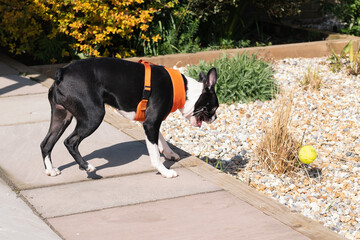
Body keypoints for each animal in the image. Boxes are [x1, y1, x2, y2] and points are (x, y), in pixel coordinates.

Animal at [40, 57, 218, 178]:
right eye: (214, 107)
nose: (215, 117)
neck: (184, 90)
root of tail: (62, 73)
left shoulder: (150, 122)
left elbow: (161, 138)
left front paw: (169, 153)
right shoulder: (151, 123)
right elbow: (154, 153)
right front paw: (165, 171)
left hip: (61, 117)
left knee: (46, 143)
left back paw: (51, 170)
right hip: (94, 116)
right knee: (70, 141)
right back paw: (86, 166)